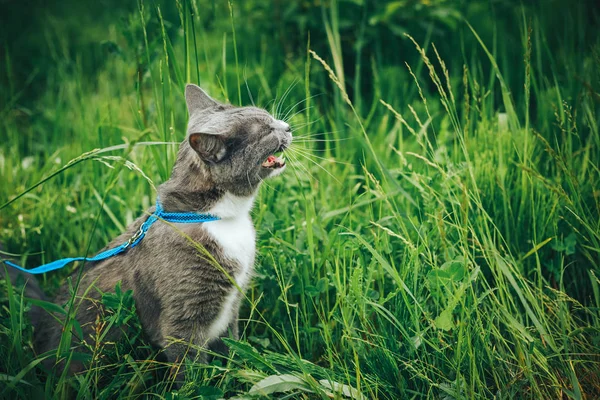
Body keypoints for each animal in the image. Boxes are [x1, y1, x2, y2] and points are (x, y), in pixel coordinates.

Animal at [7, 84, 292, 382]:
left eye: (269, 117)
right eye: (265, 130)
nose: (287, 126)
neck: (217, 218)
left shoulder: (232, 309)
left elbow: (230, 348)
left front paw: (234, 375)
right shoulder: (183, 320)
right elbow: (190, 371)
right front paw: (199, 385)